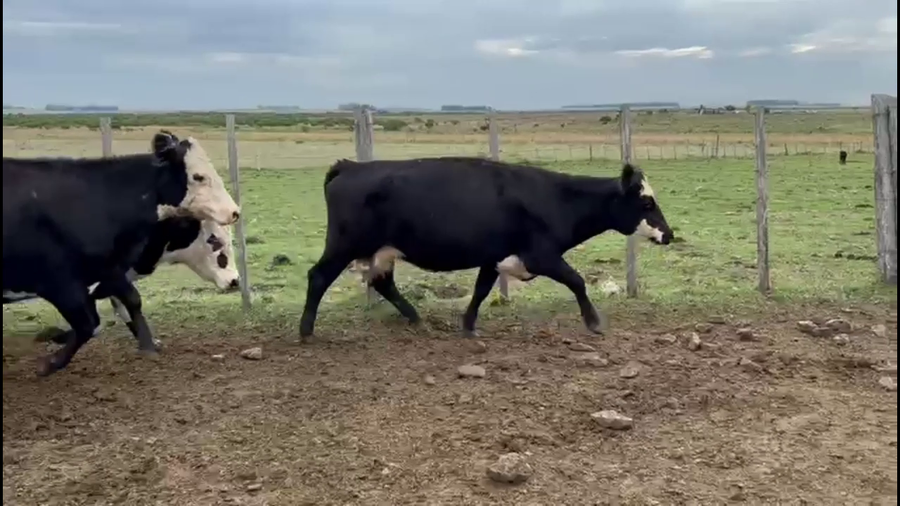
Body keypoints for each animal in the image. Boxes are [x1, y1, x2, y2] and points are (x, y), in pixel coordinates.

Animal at [299, 157, 673, 339]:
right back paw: (306, 331)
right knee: (318, 277)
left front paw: (468, 325)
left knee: (383, 283)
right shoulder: (540, 256)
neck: (555, 198)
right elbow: (577, 281)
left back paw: (417, 320)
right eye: (646, 203)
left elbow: (480, 291)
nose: (669, 234)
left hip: (382, 251)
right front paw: (594, 323)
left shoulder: (493, 258)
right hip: (344, 245)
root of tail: (349, 167)